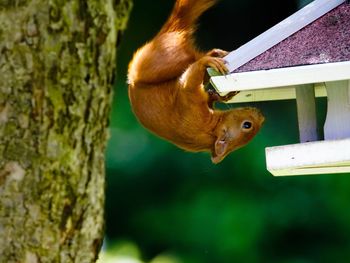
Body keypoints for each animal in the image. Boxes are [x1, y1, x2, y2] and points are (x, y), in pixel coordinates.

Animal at [127, 0, 264, 164]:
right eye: (247, 125)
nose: (261, 116)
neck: (211, 131)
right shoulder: (194, 106)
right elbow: (190, 83)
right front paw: (222, 93)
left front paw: (220, 96)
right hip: (165, 59)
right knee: (194, 59)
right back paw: (212, 56)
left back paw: (211, 55)